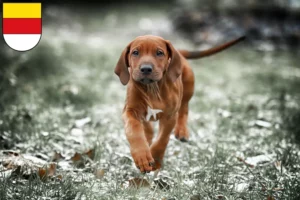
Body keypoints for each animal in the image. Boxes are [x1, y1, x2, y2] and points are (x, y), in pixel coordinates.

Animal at [113, 34, 245, 172]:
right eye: (135, 52)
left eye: (159, 53)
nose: (146, 69)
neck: (152, 88)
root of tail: (180, 54)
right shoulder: (130, 111)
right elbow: (134, 130)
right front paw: (142, 156)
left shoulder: (170, 116)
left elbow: (162, 139)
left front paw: (155, 158)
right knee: (147, 126)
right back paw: (148, 136)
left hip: (188, 87)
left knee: (184, 108)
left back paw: (181, 131)